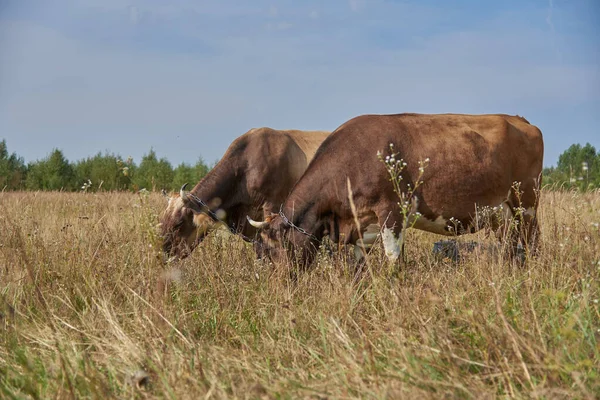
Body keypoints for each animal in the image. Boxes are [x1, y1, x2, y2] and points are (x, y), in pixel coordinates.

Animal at [247, 113, 544, 268]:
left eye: (276, 250)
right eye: (262, 253)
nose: (278, 291)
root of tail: (519, 119)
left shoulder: (391, 212)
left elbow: (392, 258)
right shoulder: (361, 224)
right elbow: (360, 264)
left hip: (526, 203)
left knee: (532, 241)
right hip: (501, 213)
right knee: (508, 244)